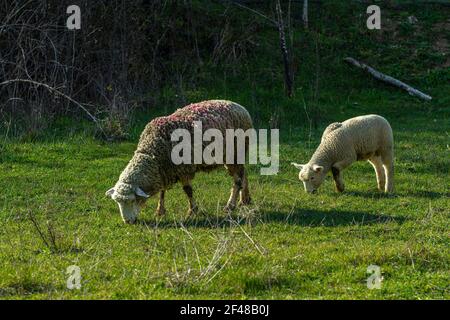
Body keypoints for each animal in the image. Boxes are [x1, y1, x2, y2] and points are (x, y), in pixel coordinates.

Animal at [105, 99, 253, 222]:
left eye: (132, 201)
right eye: (117, 202)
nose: (127, 222)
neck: (152, 154)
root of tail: (241, 108)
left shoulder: (183, 168)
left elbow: (188, 191)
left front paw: (192, 211)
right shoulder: (164, 171)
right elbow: (162, 191)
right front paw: (160, 211)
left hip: (235, 152)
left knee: (237, 179)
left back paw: (230, 205)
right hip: (233, 155)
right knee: (243, 172)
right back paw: (245, 199)